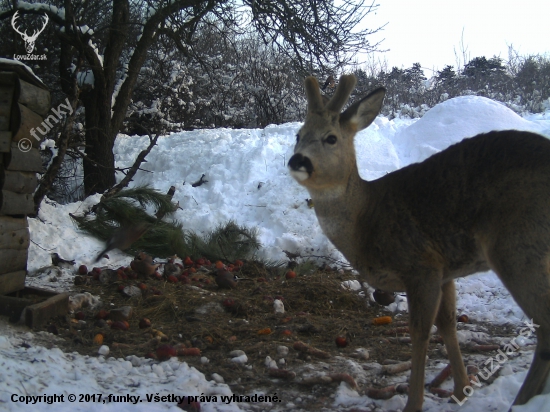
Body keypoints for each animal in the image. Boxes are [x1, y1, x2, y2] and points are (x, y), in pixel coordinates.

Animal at [288, 75, 550, 412]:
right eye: (298, 134)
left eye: (331, 138)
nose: (298, 159)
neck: (364, 220)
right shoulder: (446, 272)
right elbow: (448, 324)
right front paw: (460, 390)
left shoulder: (420, 265)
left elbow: (420, 332)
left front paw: (413, 403)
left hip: (518, 245)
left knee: (545, 327)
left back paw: (521, 401)